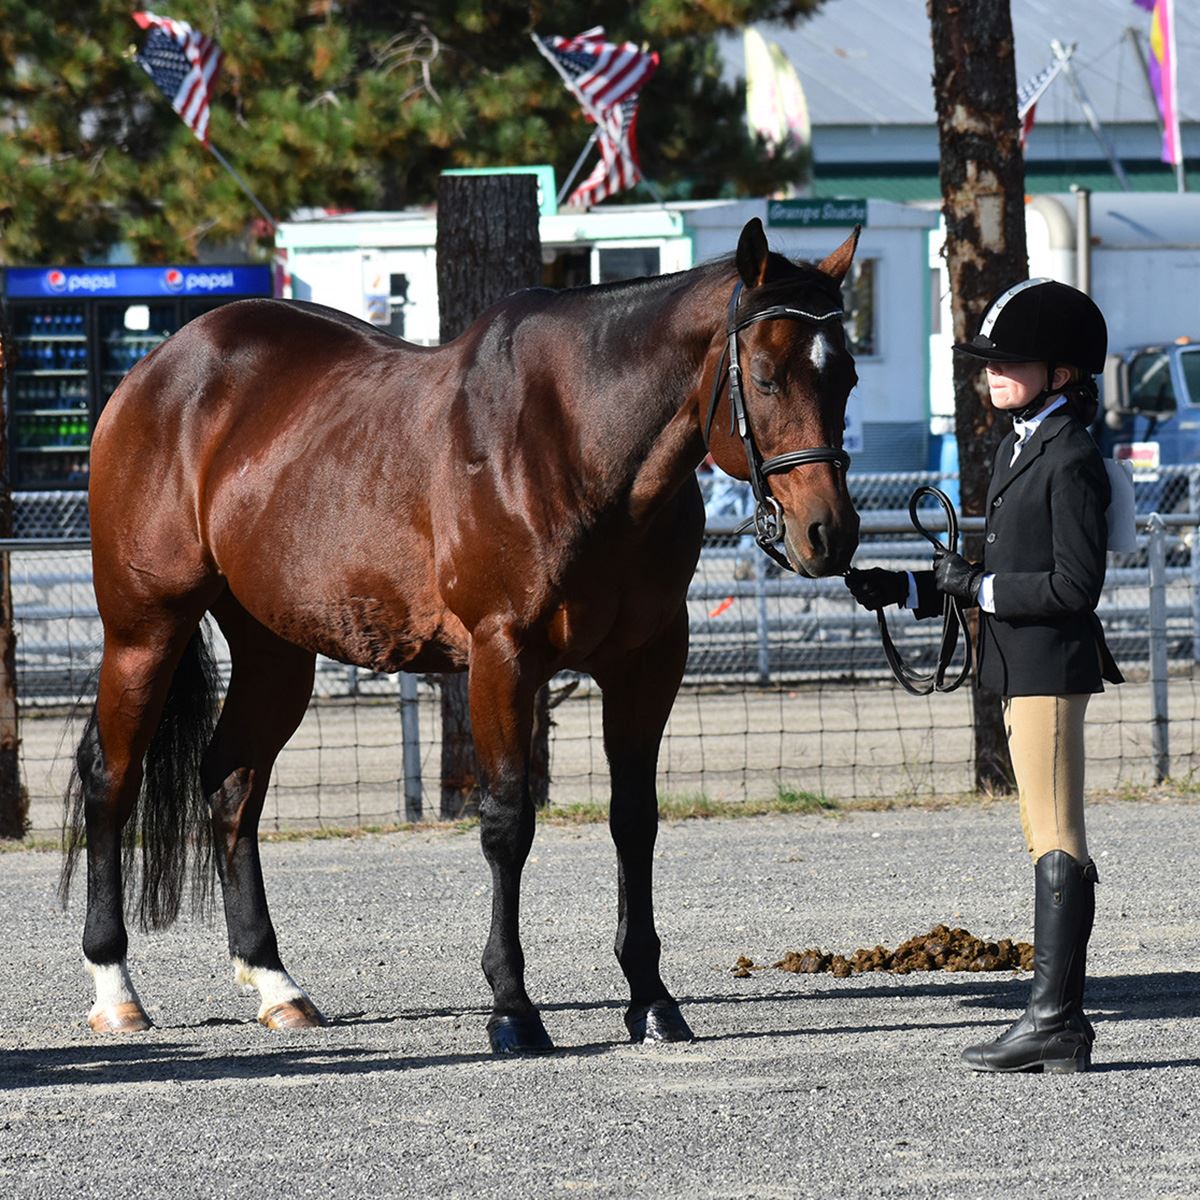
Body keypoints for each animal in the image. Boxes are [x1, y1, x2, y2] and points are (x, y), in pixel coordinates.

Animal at [60, 218, 859, 1051]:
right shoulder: (502, 656)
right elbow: (507, 823)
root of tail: (159, 369)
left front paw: (652, 1000)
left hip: (274, 650)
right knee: (110, 779)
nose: (827, 533)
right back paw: (116, 987)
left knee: (232, 785)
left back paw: (276, 983)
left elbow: (634, 821)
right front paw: (513, 1008)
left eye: (846, 378)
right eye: (764, 376)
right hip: (144, 629)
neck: (572, 439)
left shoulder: (648, 661)